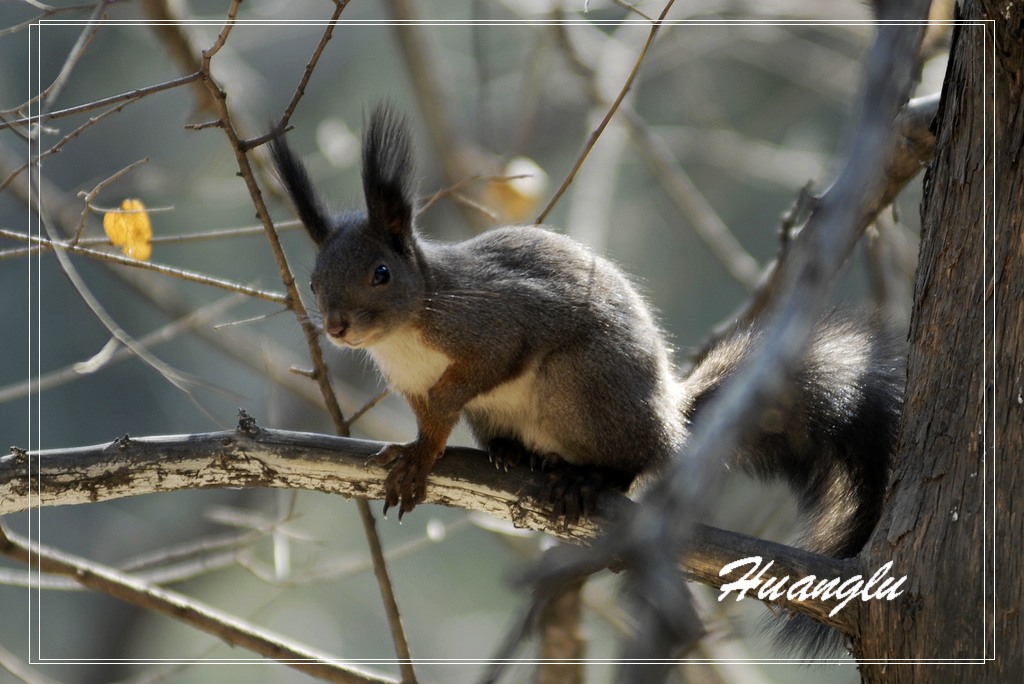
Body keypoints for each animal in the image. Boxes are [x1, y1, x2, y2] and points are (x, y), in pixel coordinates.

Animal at [266, 102, 905, 651]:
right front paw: (418, 453)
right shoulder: (408, 385)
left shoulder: (499, 321)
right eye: (315, 279)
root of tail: (671, 417)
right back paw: (515, 454)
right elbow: (429, 418)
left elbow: (480, 373)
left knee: (636, 462)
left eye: (380, 273)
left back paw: (587, 480)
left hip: (585, 386)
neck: (407, 331)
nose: (337, 326)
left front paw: (430, 440)